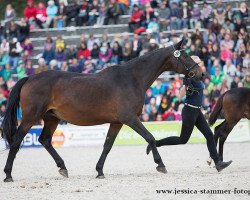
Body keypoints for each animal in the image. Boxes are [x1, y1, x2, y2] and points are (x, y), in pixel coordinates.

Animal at [0, 38, 203, 181]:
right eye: (185, 56)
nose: (201, 73)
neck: (132, 78)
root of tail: (29, 78)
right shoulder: (130, 118)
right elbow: (150, 138)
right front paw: (160, 164)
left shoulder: (116, 122)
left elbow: (107, 146)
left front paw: (99, 171)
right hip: (30, 118)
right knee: (17, 140)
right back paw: (8, 174)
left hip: (52, 118)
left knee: (45, 140)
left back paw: (63, 167)